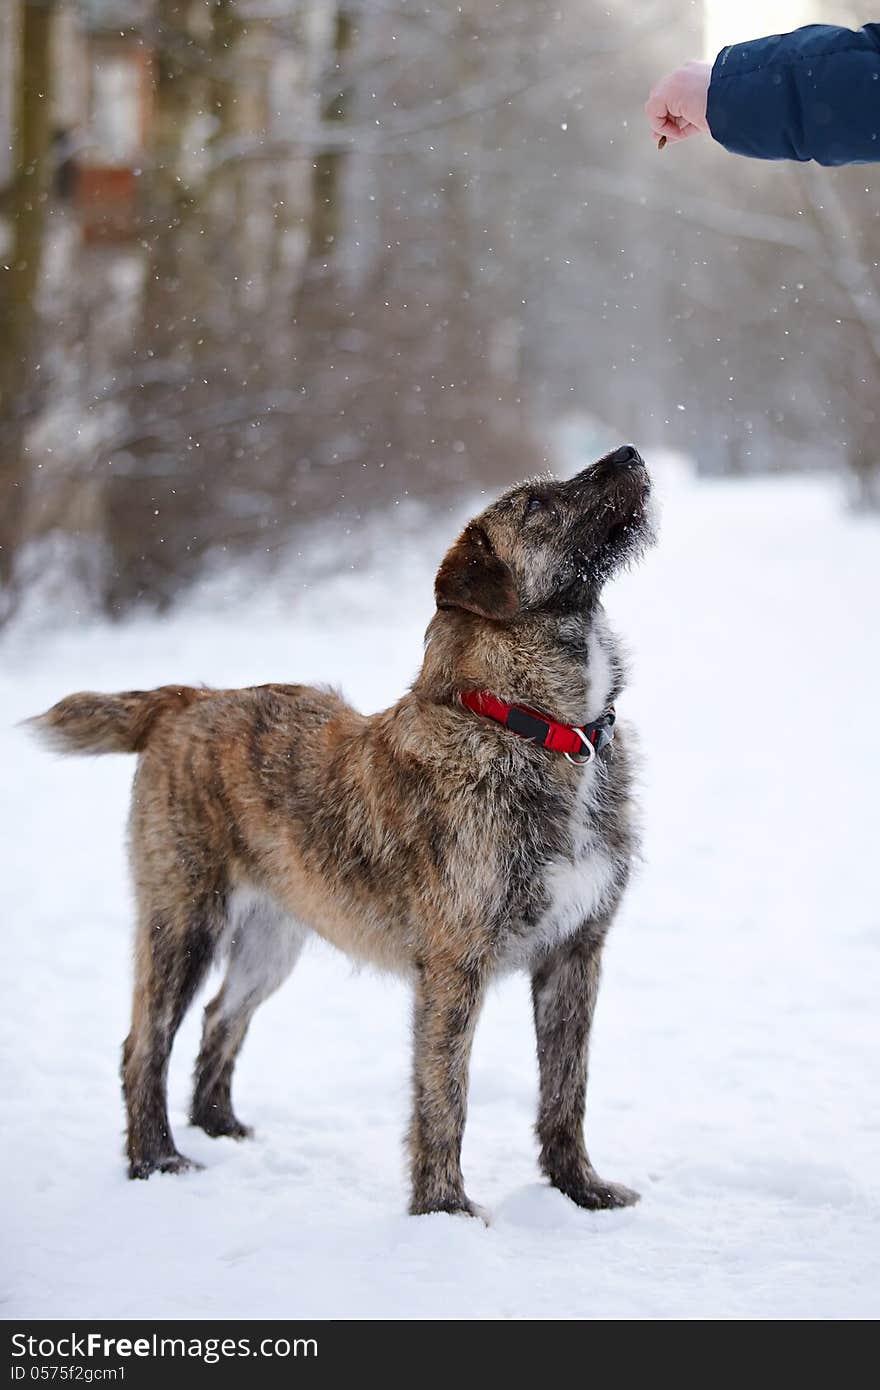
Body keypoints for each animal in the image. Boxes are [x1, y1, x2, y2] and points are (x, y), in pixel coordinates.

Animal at [29, 447, 653, 1217]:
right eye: (536, 504)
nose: (629, 453)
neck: (533, 727)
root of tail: (185, 700)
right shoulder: (455, 967)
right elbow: (445, 1097)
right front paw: (443, 1211)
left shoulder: (575, 954)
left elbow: (567, 1090)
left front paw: (580, 1190)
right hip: (183, 921)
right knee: (143, 1045)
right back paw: (157, 1160)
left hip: (272, 939)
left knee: (220, 1018)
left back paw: (220, 1127)